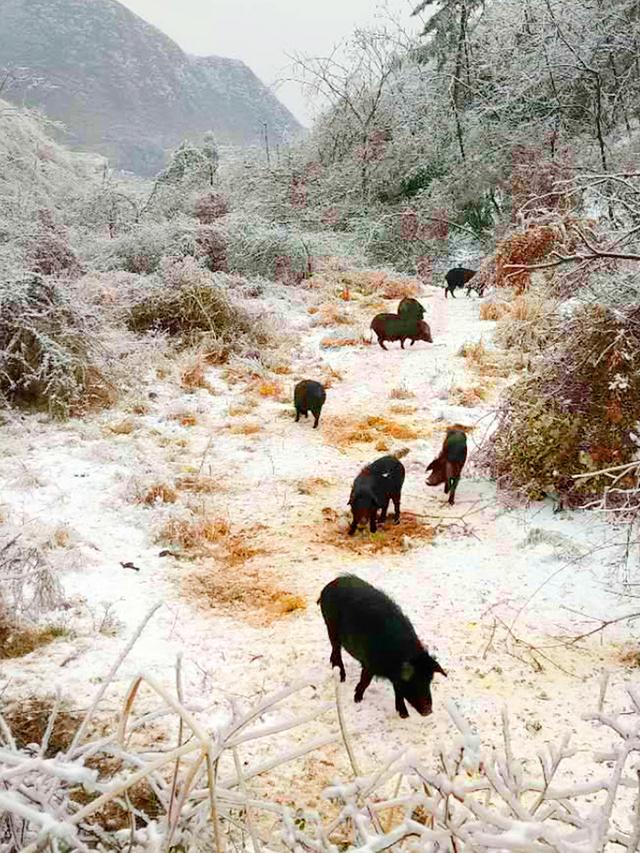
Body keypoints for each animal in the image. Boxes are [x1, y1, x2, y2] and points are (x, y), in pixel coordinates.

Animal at [318, 572, 448, 720]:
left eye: (429, 680)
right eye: (414, 681)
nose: (428, 711)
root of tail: (327, 586)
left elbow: (397, 689)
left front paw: (404, 715)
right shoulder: (369, 664)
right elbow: (366, 681)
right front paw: (357, 698)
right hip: (330, 627)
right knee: (336, 650)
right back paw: (342, 677)